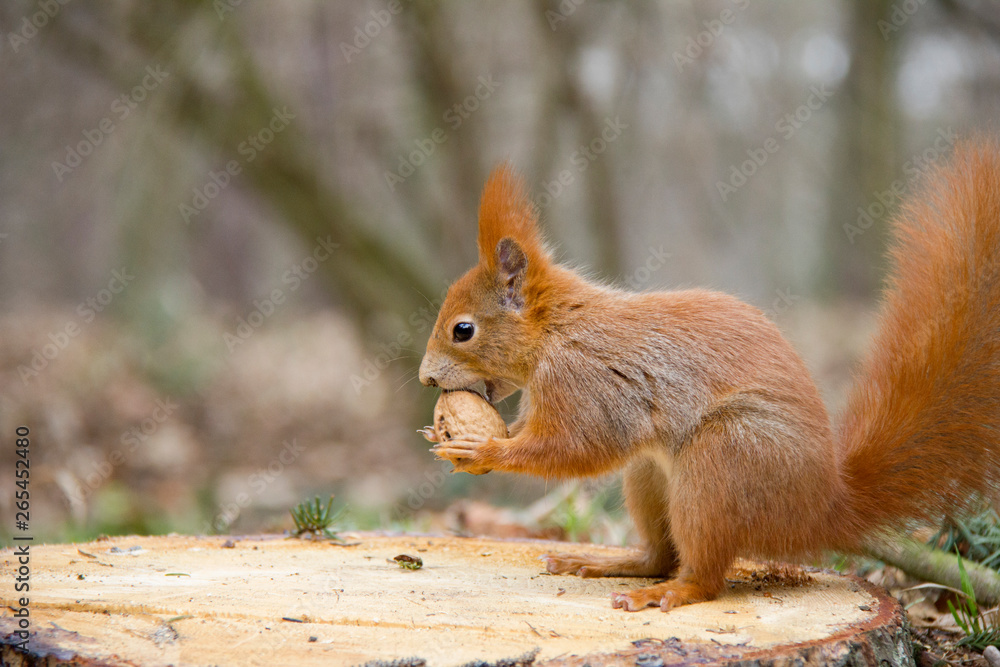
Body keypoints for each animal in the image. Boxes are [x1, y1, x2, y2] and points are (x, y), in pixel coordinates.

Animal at [418, 140, 1000, 612]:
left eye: (463, 330)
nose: (425, 379)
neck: (557, 330)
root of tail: (821, 506)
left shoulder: (584, 381)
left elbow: (576, 447)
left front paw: (482, 450)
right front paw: (452, 438)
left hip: (722, 463)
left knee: (705, 575)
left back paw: (670, 593)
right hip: (651, 477)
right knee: (660, 554)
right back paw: (611, 563)